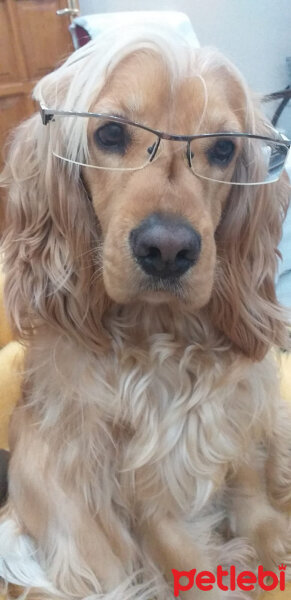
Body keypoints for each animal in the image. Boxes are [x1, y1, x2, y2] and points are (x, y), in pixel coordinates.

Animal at [0, 23, 291, 600]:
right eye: (111, 135)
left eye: (224, 148)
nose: (168, 250)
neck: (165, 341)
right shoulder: (139, 478)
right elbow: (179, 554)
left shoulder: (238, 407)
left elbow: (248, 478)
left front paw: (271, 534)